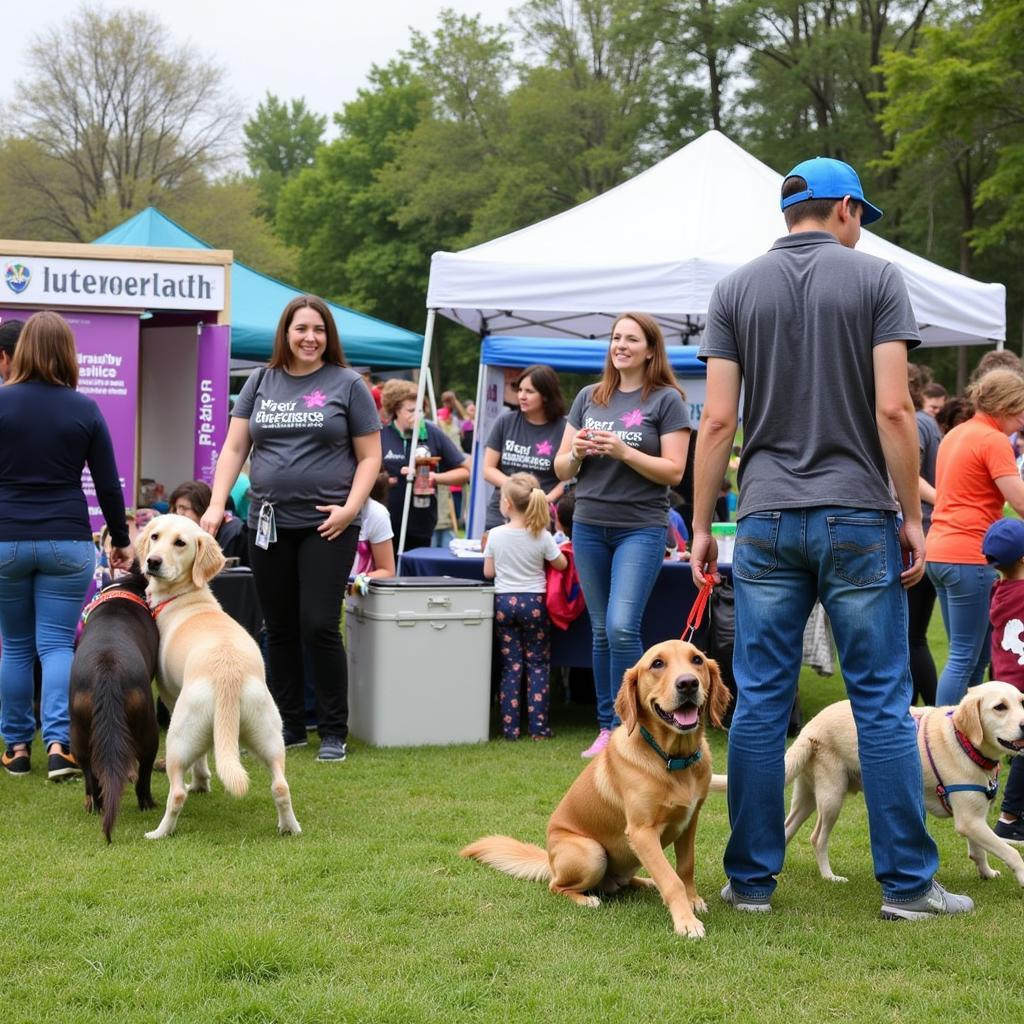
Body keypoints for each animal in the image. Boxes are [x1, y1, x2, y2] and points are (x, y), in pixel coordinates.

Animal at [71, 569, 159, 839]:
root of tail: (106, 668)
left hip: (78, 729)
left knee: (90, 773)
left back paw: (94, 804)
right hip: (148, 726)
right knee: (144, 773)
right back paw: (148, 802)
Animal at [135, 512, 299, 839]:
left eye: (180, 543)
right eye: (155, 536)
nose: (152, 561)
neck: (187, 596)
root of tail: (228, 675)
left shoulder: (170, 697)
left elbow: (199, 760)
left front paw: (199, 783)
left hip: (178, 737)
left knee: (176, 793)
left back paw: (159, 832)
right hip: (270, 736)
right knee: (281, 786)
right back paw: (290, 828)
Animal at [460, 643, 733, 937]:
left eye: (697, 660)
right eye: (657, 664)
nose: (688, 683)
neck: (672, 759)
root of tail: (549, 861)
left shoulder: (689, 822)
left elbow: (685, 867)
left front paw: (692, 901)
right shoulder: (641, 832)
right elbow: (672, 880)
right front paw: (686, 921)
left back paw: (647, 882)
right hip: (592, 853)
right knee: (556, 886)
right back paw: (586, 899)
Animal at [712, 679, 1024, 888]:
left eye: (1021, 701)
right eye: (1000, 707)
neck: (965, 741)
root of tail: (810, 726)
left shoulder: (974, 817)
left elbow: (979, 850)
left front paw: (986, 872)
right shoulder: (969, 820)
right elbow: (1010, 851)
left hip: (806, 797)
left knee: (786, 830)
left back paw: (770, 872)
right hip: (832, 797)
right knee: (816, 838)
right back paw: (829, 876)